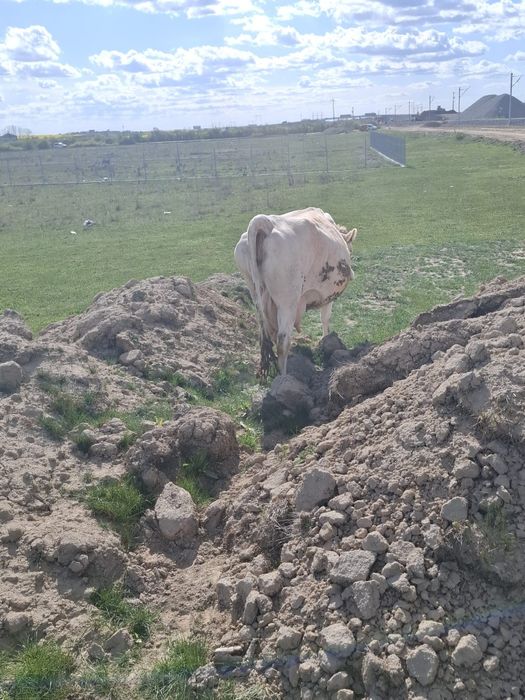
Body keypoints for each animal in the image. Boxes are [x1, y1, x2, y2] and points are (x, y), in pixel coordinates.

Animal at [234, 207, 357, 376]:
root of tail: (264, 222)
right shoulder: (327, 296)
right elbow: (325, 319)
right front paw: (326, 343)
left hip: (255, 294)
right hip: (288, 302)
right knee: (282, 342)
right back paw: (284, 377)